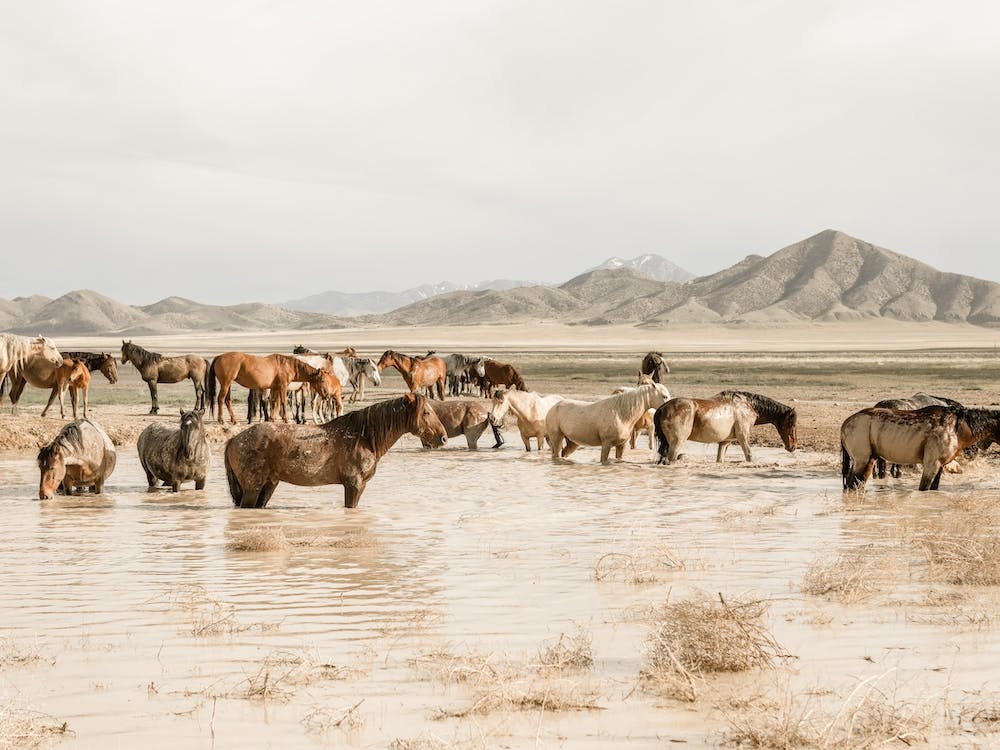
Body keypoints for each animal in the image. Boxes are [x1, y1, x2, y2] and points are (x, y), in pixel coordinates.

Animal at [223, 393, 448, 508]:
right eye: (426, 412)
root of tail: (234, 439)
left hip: (268, 485)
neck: (364, 437)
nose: (443, 437)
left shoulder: (360, 486)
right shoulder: (353, 485)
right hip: (252, 488)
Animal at [841, 405, 1000, 491]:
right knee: (851, 483)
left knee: (856, 484)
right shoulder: (931, 464)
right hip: (861, 459)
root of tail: (845, 424)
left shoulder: (939, 465)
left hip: (870, 459)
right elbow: (924, 488)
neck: (958, 428)